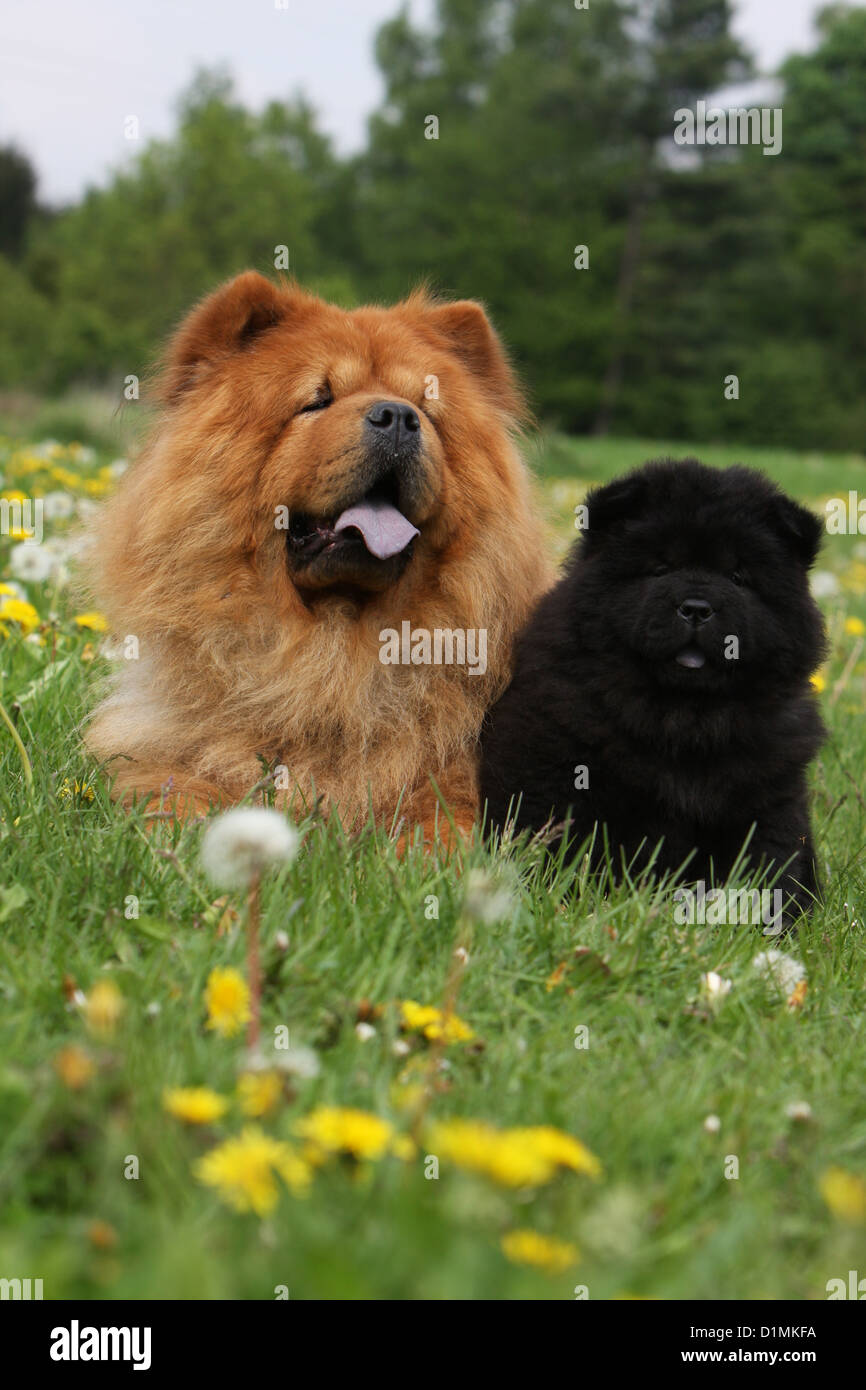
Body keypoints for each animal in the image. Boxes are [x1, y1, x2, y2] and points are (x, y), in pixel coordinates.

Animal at [483, 458, 828, 922]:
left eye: (737, 577)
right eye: (660, 569)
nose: (697, 607)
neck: (684, 717)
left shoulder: (771, 794)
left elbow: (769, 859)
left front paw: (771, 922)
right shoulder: (559, 767)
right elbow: (559, 835)